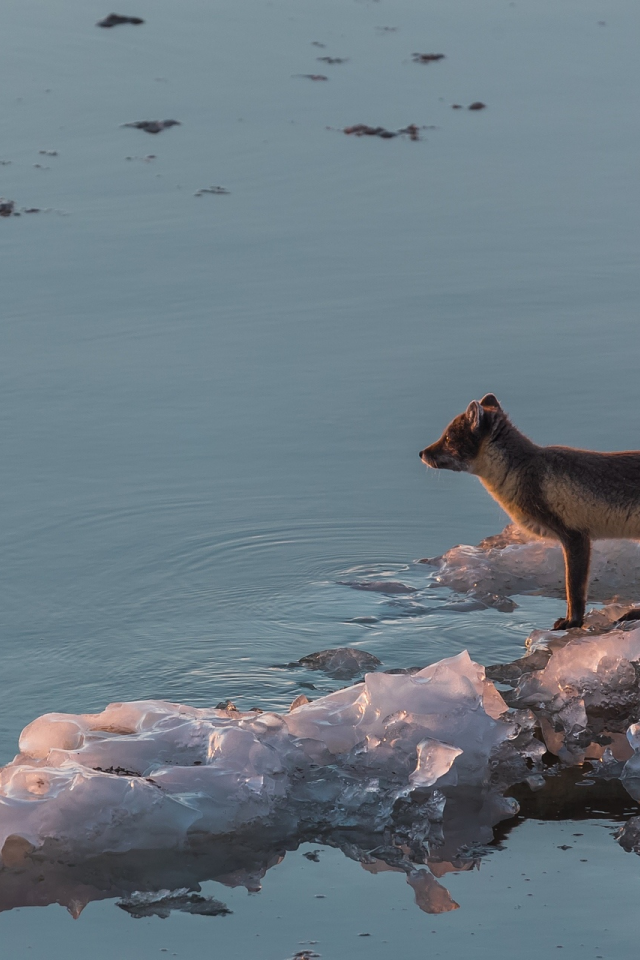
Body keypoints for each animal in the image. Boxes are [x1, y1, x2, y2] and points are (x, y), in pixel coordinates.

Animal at [418, 396, 640, 632]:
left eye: (449, 437)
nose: (421, 453)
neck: (522, 470)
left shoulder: (575, 536)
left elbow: (573, 589)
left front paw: (572, 623)